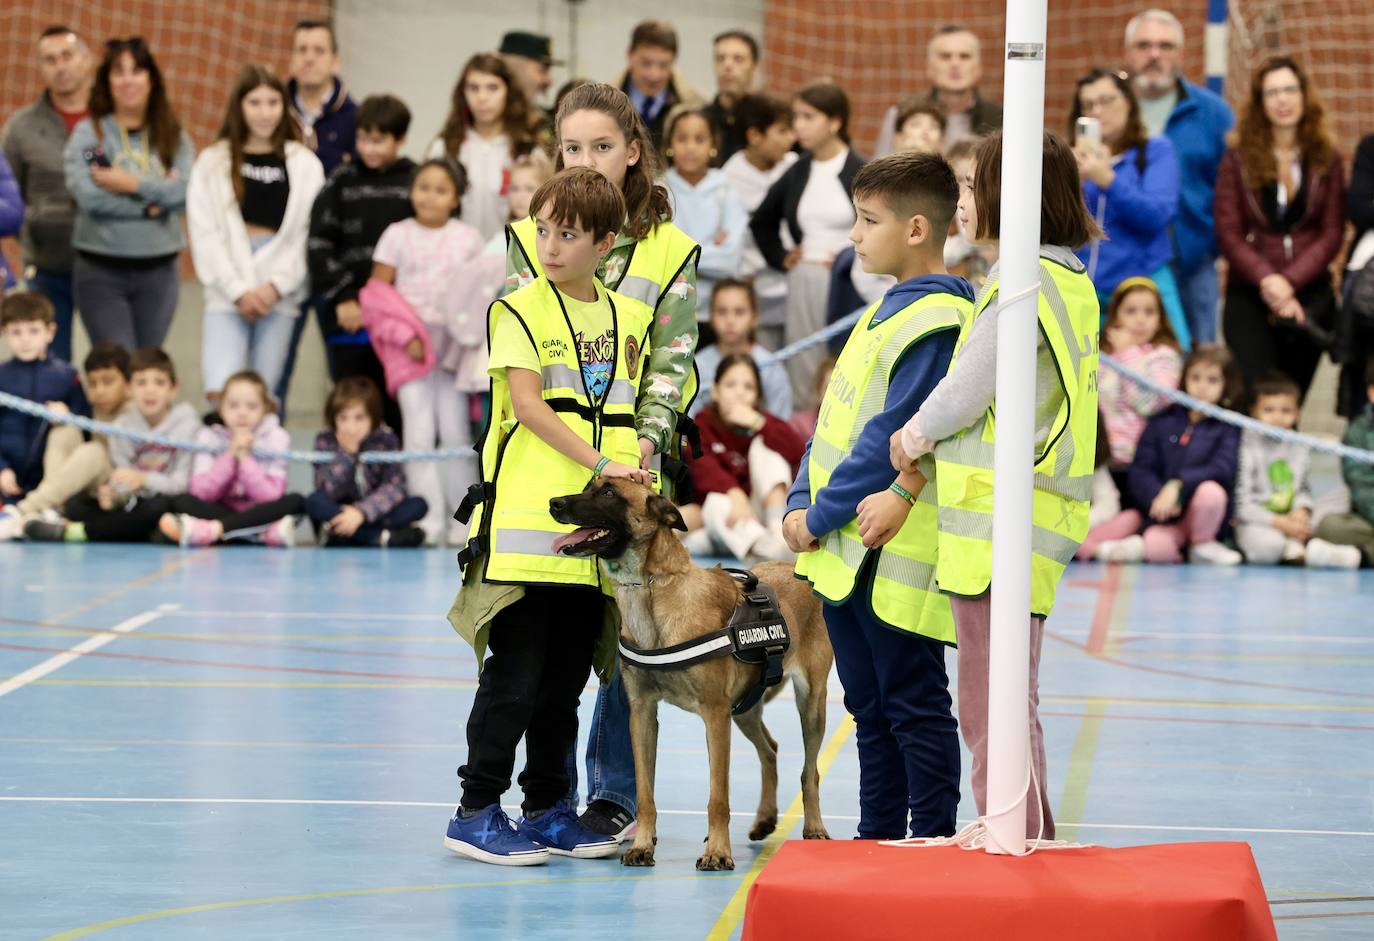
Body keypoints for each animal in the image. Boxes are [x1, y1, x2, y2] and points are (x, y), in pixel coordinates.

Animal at [549, 480, 835, 868]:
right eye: (586, 487)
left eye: (608, 493)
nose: (554, 503)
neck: (652, 589)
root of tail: (798, 569)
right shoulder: (643, 714)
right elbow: (645, 794)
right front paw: (643, 845)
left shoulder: (714, 715)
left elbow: (718, 797)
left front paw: (717, 851)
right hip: (743, 710)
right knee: (770, 750)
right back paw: (764, 818)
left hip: (810, 705)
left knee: (809, 770)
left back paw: (814, 826)